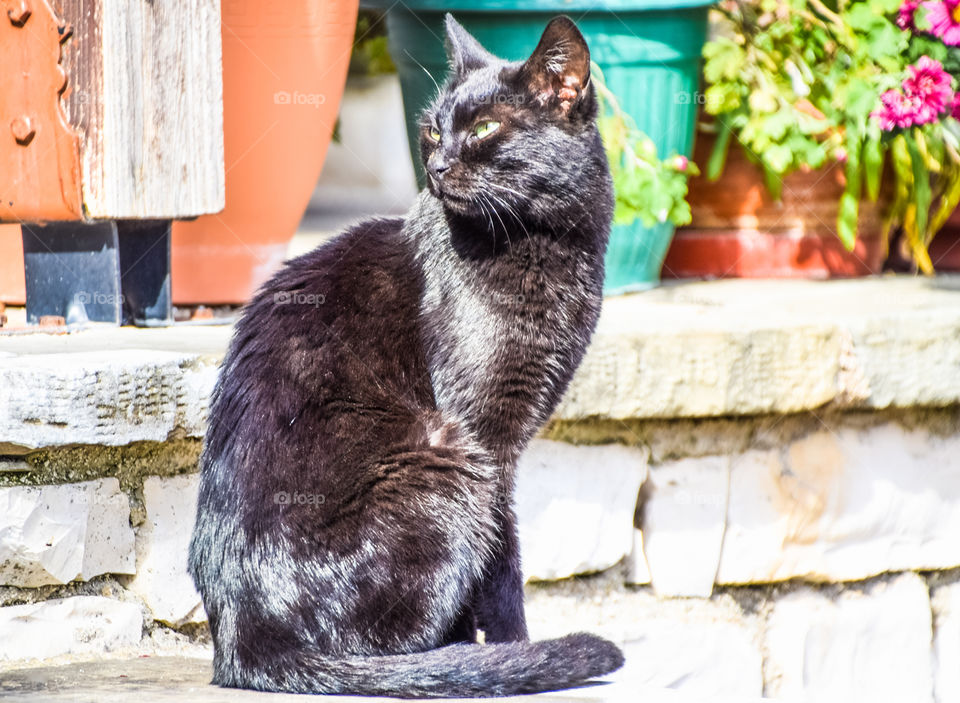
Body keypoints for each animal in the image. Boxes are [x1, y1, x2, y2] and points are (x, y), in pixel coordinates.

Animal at [188, 12, 624, 700]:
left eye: (484, 128)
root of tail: (240, 645)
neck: (543, 247)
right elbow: (503, 570)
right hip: (446, 457)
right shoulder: (489, 442)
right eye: (432, 129)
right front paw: (518, 653)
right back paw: (458, 663)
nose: (439, 164)